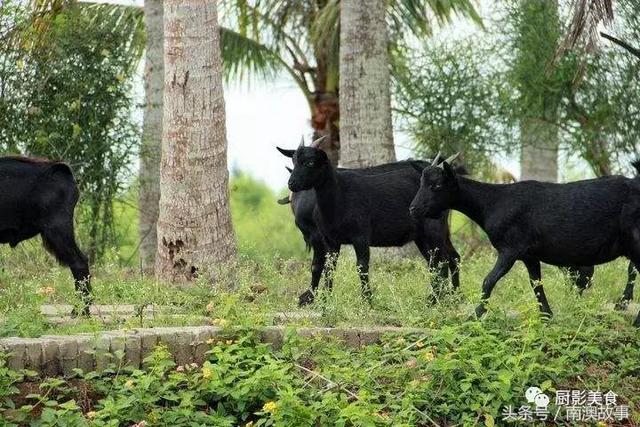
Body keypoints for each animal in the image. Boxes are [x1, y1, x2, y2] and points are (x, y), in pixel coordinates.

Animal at [276, 143, 460, 304]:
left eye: (310, 162)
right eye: (293, 161)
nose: (291, 184)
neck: (339, 195)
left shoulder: (360, 235)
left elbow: (361, 266)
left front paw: (367, 300)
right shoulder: (331, 240)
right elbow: (328, 267)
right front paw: (325, 300)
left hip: (434, 228)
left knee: (442, 261)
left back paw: (439, 298)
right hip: (424, 234)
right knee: (445, 259)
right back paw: (451, 297)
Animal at [412, 159, 640, 326]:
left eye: (437, 185)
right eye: (421, 184)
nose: (413, 209)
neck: (493, 203)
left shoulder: (510, 249)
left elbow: (488, 280)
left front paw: (474, 316)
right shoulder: (530, 255)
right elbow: (536, 284)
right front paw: (547, 316)